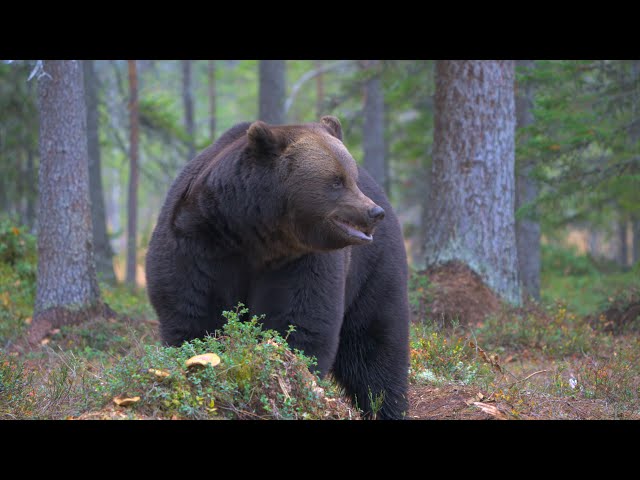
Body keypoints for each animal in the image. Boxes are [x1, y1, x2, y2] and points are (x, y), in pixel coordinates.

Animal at [145, 115, 408, 416]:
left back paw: (386, 407)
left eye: (352, 178)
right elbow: (192, 314)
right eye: (336, 181)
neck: (254, 234)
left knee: (376, 345)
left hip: (374, 267)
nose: (373, 212)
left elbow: (299, 321)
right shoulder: (196, 244)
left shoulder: (302, 261)